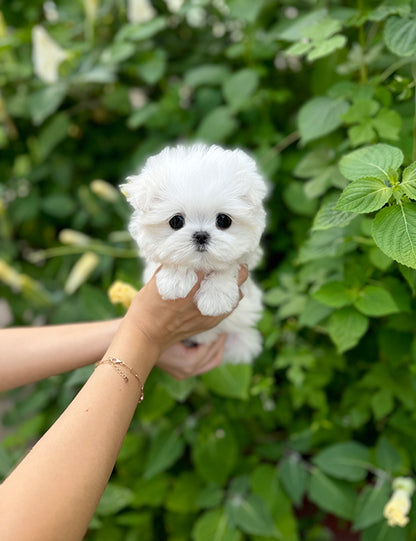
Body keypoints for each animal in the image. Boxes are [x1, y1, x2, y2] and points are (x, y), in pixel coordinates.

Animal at [122, 143, 268, 362]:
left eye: (223, 220)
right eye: (176, 221)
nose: (201, 235)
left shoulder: (247, 256)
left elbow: (228, 266)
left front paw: (215, 297)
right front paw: (175, 281)